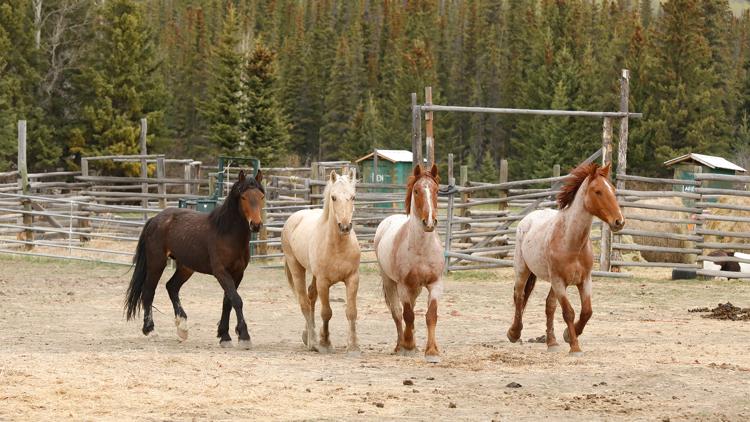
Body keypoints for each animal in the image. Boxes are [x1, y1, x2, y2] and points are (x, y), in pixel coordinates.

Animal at [124, 170, 264, 348]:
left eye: (261, 196)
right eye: (244, 197)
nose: (256, 224)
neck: (226, 233)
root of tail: (154, 220)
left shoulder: (238, 273)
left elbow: (228, 302)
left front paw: (224, 336)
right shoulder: (221, 272)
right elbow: (236, 300)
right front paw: (244, 336)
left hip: (186, 267)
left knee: (172, 287)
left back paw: (182, 327)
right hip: (157, 263)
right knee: (149, 292)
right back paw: (151, 330)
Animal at [284, 170, 362, 354]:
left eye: (353, 197)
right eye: (333, 197)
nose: (345, 227)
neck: (338, 246)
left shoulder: (352, 279)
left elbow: (351, 312)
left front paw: (353, 345)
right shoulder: (323, 282)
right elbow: (327, 312)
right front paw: (325, 342)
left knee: (311, 297)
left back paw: (308, 335)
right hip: (296, 267)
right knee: (305, 302)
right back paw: (313, 341)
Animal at [376, 164, 446, 362]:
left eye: (437, 191)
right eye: (416, 191)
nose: (429, 222)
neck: (421, 249)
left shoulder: (435, 284)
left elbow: (431, 315)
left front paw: (432, 351)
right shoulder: (403, 285)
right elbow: (407, 315)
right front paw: (408, 346)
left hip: (416, 288)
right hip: (390, 283)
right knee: (397, 313)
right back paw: (401, 345)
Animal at [508, 163, 624, 354]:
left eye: (613, 190)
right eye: (598, 191)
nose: (619, 222)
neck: (571, 243)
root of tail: (528, 218)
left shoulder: (585, 280)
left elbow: (586, 312)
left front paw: (568, 336)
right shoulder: (559, 281)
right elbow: (568, 312)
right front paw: (575, 347)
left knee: (549, 305)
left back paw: (552, 343)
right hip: (523, 270)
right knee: (519, 296)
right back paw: (514, 333)